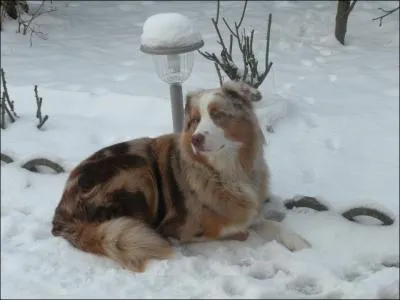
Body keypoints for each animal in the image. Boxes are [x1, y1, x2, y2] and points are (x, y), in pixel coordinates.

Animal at [50, 81, 312, 274]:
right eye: (195, 120)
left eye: (218, 115)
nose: (196, 138)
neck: (226, 171)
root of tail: (61, 212)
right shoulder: (180, 226)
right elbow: (236, 230)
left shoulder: (249, 207)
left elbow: (272, 224)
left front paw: (300, 243)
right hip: (138, 171)